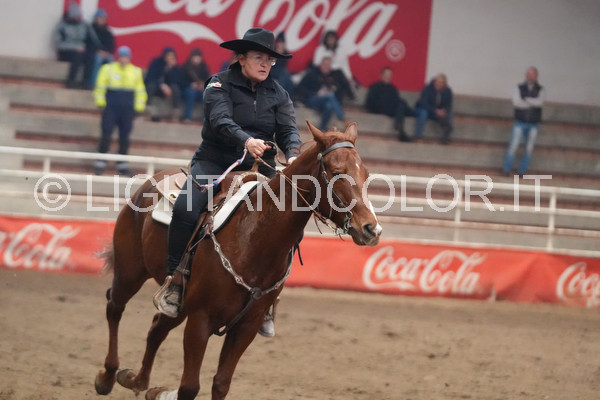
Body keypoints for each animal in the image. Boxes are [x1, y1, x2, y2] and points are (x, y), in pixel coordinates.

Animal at [94, 121, 383, 400]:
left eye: (366, 174)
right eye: (336, 172)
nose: (371, 229)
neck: (255, 236)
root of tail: (149, 182)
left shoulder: (246, 326)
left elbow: (221, 384)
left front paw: (162, 391)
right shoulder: (200, 319)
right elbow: (189, 387)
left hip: (179, 304)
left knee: (157, 328)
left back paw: (139, 381)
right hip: (130, 272)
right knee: (114, 307)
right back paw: (107, 376)